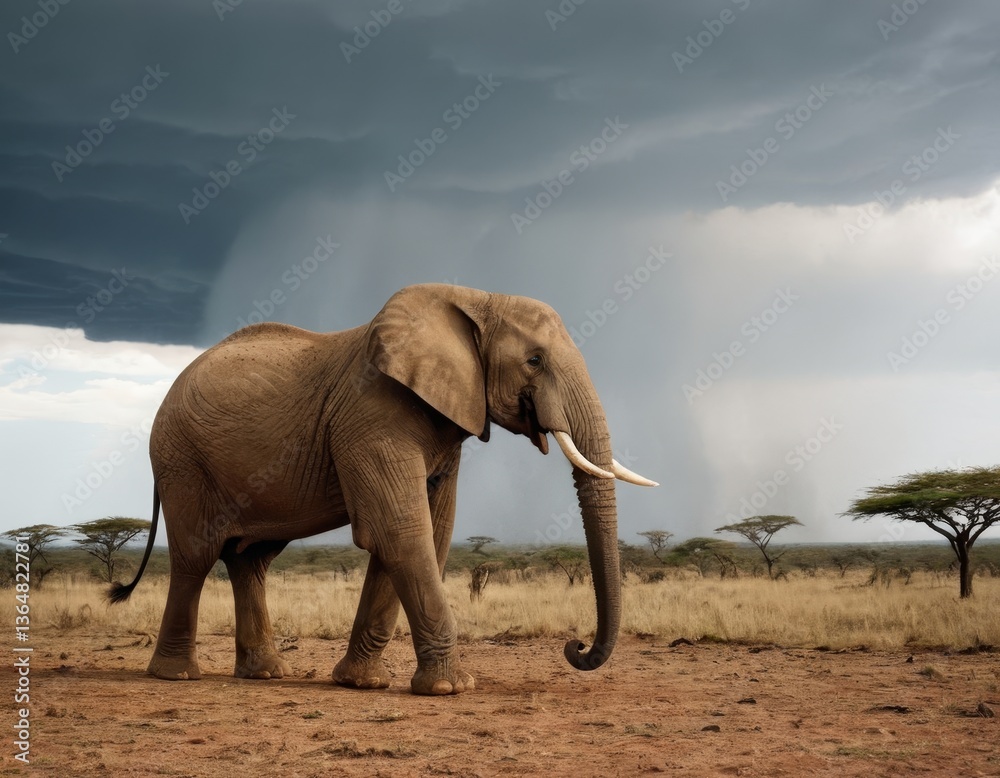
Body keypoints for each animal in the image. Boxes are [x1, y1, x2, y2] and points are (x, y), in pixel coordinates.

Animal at [110, 283, 657, 695]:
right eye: (535, 361)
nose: (575, 646)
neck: (476, 298)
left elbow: (426, 534)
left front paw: (361, 683)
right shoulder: (371, 415)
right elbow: (400, 531)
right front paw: (452, 688)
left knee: (251, 561)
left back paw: (265, 674)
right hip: (181, 460)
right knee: (197, 555)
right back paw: (176, 676)